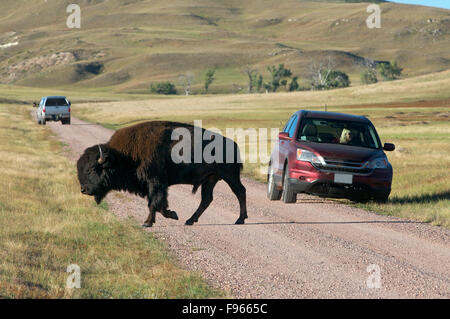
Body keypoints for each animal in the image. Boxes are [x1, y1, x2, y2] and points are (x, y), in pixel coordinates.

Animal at [76, 120, 248, 228]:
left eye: (92, 169)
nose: (83, 189)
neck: (121, 156)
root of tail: (234, 145)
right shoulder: (151, 185)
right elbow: (155, 203)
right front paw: (156, 219)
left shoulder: (156, 182)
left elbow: (156, 203)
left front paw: (158, 219)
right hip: (210, 179)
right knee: (207, 199)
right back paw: (190, 220)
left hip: (229, 176)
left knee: (240, 192)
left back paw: (240, 219)